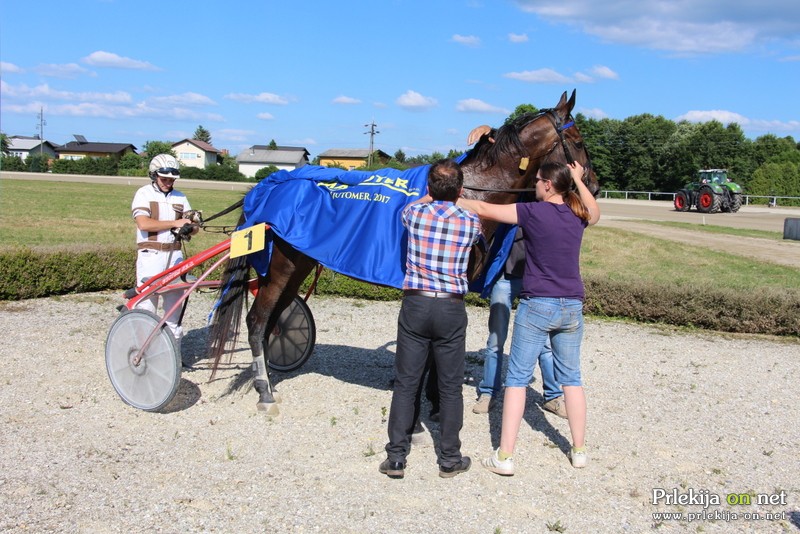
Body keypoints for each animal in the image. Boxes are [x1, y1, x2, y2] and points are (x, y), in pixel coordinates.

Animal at [206, 89, 600, 414]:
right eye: (579, 140)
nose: (593, 185)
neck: (469, 194)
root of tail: (270, 184)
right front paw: (434, 402)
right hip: (283, 265)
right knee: (257, 321)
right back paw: (265, 391)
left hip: (297, 263)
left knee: (273, 319)